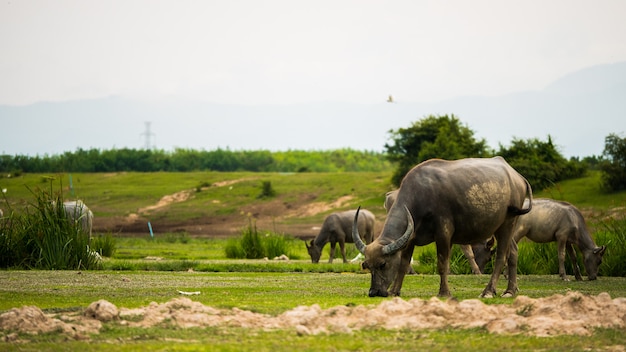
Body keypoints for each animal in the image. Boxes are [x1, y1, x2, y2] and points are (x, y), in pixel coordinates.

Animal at [354, 158, 528, 298]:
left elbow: (443, 263)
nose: (374, 292)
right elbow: (403, 264)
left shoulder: (443, 233)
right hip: (505, 227)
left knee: (501, 256)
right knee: (513, 252)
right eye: (367, 265)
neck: (421, 196)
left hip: (508, 223)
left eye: (383, 264)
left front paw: (444, 292)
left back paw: (488, 291)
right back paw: (510, 290)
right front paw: (394, 291)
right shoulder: (410, 238)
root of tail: (517, 176)